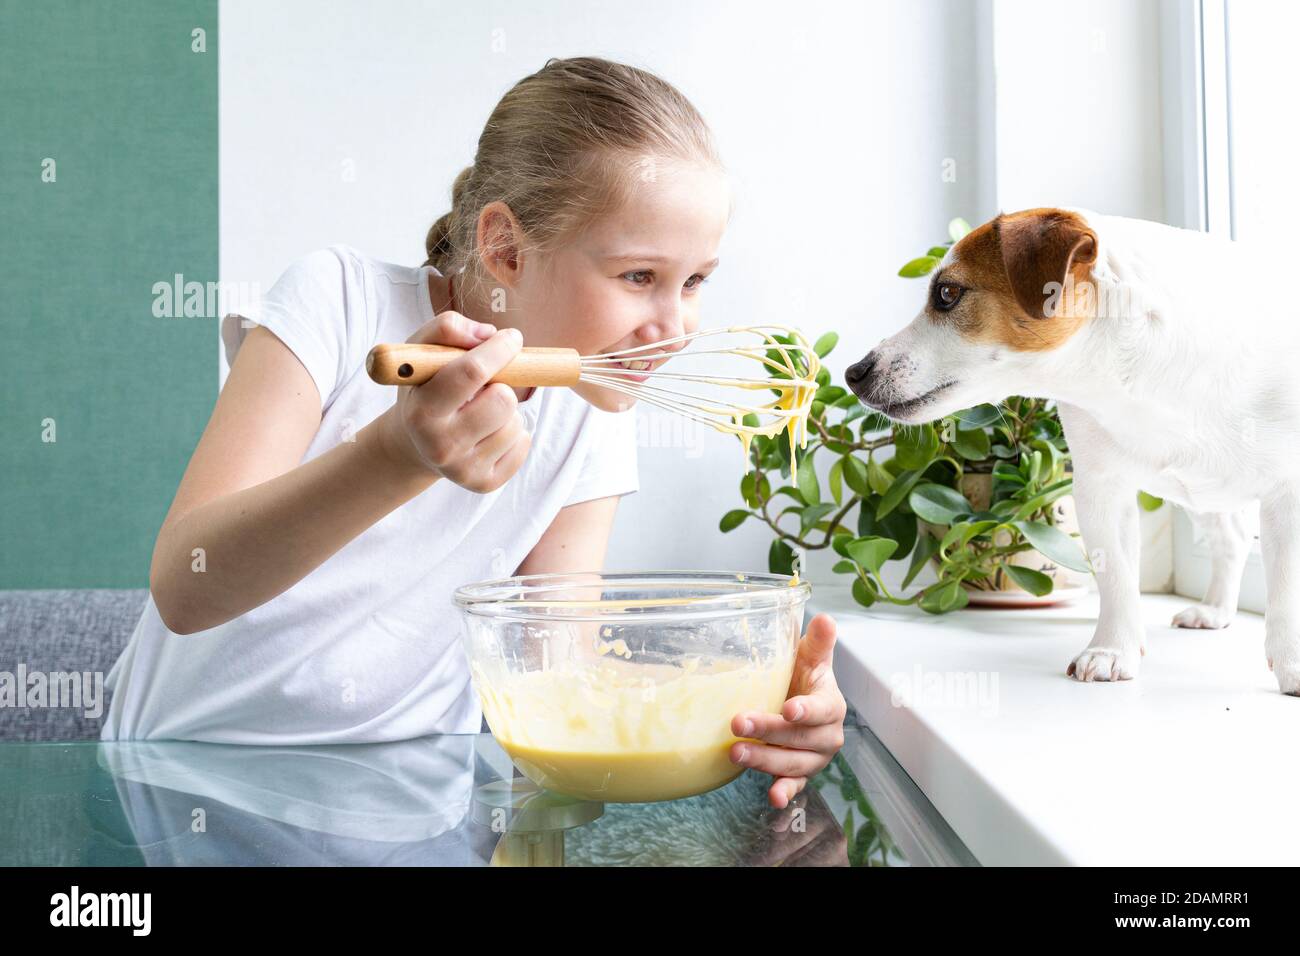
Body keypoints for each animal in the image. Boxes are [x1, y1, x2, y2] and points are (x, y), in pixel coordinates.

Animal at [842, 205, 1300, 691]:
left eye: (947, 293)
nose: (854, 373)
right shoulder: (1101, 488)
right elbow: (1116, 575)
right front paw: (1112, 650)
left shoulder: (1289, 494)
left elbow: (1288, 588)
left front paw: (1292, 663)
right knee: (1232, 538)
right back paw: (1215, 609)